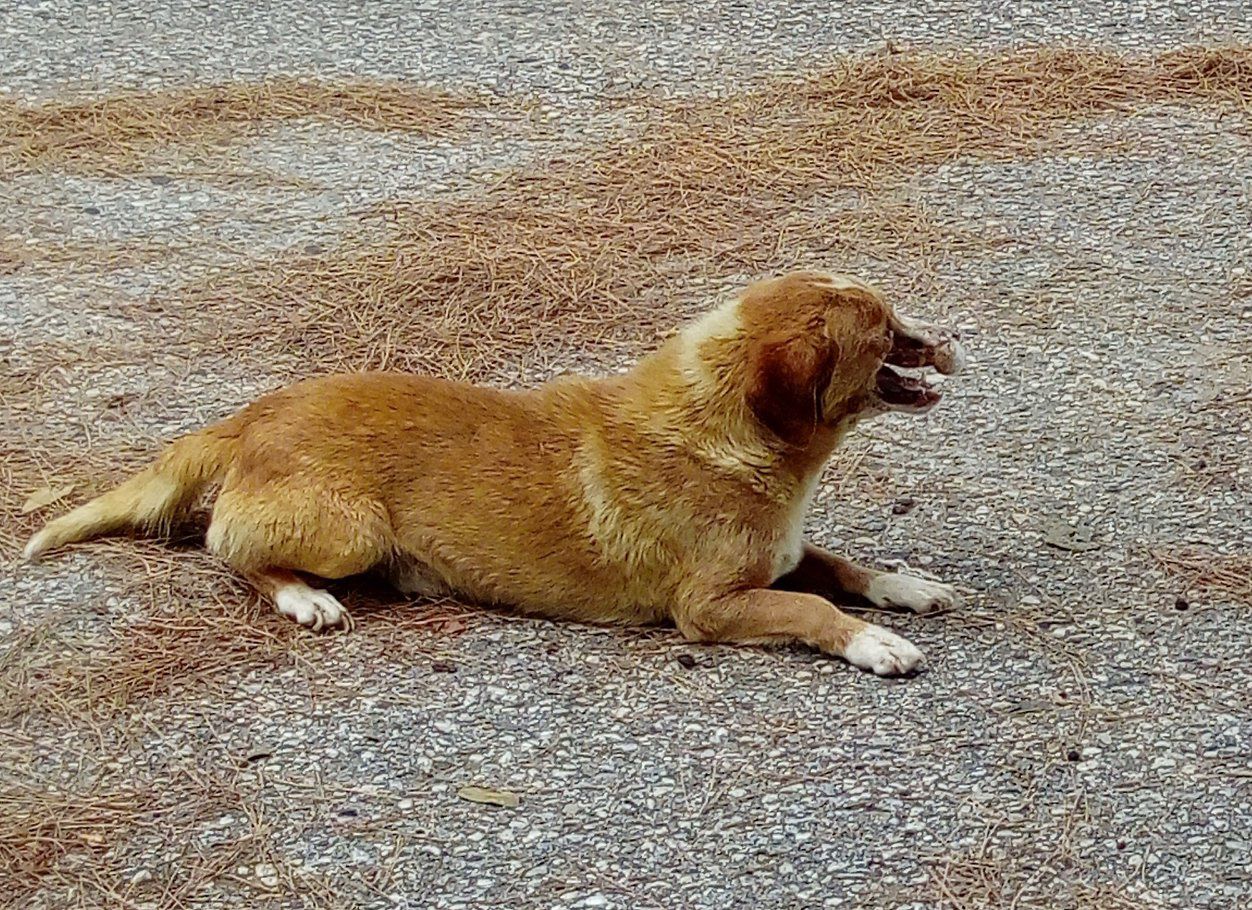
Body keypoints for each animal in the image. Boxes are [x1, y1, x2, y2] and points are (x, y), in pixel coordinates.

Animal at [29, 270, 966, 675]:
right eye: (885, 330)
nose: (954, 336)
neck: (722, 428)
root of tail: (255, 412)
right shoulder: (708, 608)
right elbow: (812, 606)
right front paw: (874, 642)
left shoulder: (780, 553)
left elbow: (840, 566)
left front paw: (903, 588)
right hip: (349, 530)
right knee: (231, 552)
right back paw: (305, 598)